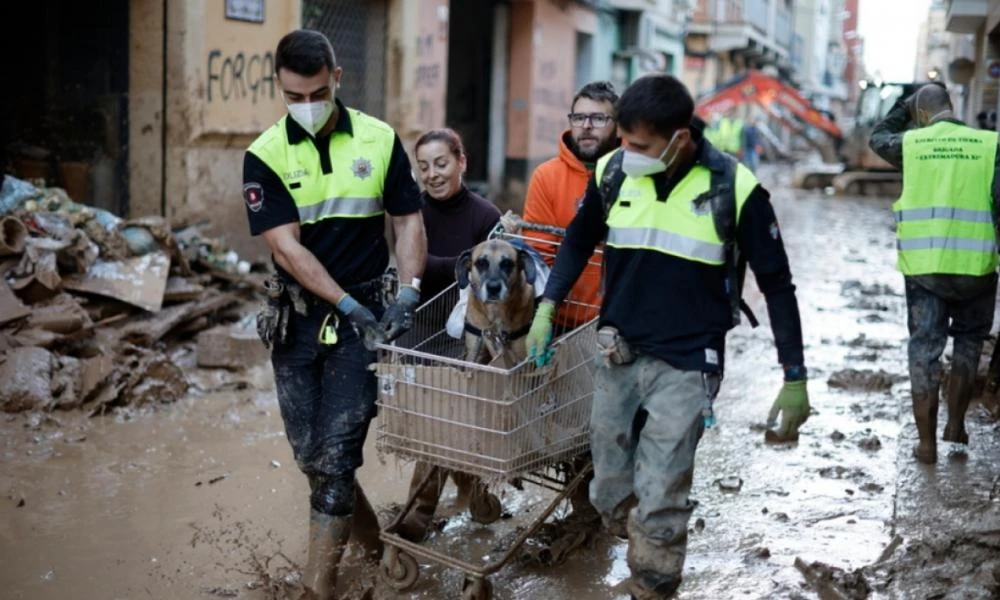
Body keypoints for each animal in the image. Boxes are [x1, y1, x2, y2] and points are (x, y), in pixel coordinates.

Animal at [374, 223, 600, 596]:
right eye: (480, 263)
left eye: (508, 264)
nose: (493, 286)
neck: (496, 321)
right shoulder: (475, 354)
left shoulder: (519, 363)